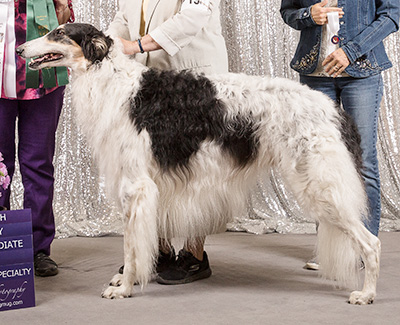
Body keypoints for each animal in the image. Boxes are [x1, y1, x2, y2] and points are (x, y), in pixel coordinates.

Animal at [18, 23, 382, 304]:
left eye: (58, 33)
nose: (20, 49)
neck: (113, 82)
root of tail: (333, 110)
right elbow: (135, 246)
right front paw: (126, 281)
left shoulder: (136, 187)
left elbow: (131, 247)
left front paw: (124, 288)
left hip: (322, 187)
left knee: (372, 243)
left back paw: (366, 294)